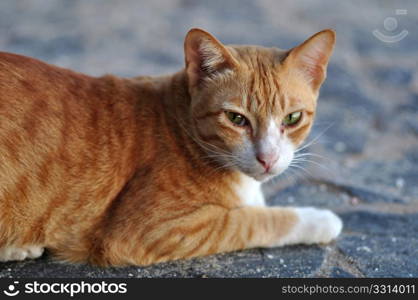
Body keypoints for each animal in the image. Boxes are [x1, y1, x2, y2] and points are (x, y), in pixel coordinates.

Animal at [0, 29, 342, 266]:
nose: (267, 158)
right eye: (236, 118)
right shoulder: (156, 231)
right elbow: (254, 220)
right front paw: (320, 220)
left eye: (293, 118)